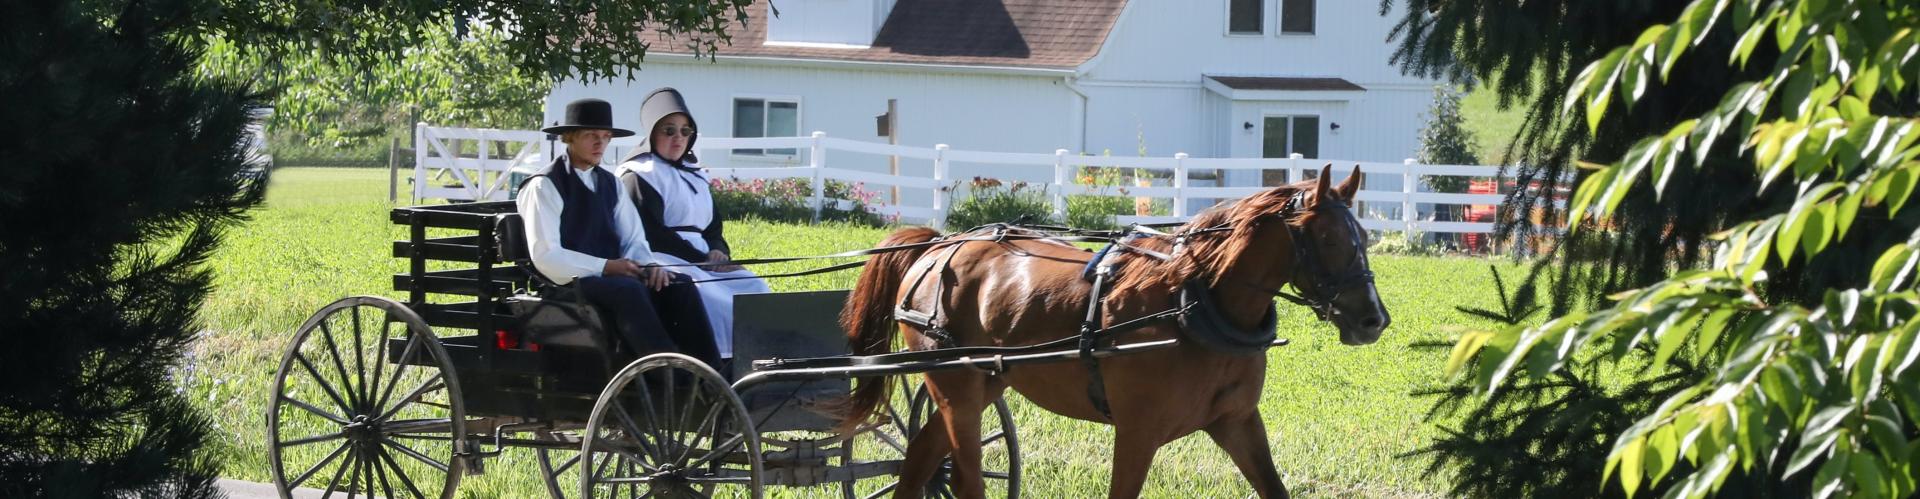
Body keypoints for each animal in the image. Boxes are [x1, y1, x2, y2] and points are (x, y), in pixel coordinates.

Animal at [837, 166, 1382, 495]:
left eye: (1364, 235)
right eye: (1329, 237)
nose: (1374, 319)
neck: (1192, 301)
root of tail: (937, 246)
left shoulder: (1237, 422)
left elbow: (1273, 486)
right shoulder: (1138, 431)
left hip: (986, 382)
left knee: (921, 456)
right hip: (957, 389)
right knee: (966, 476)